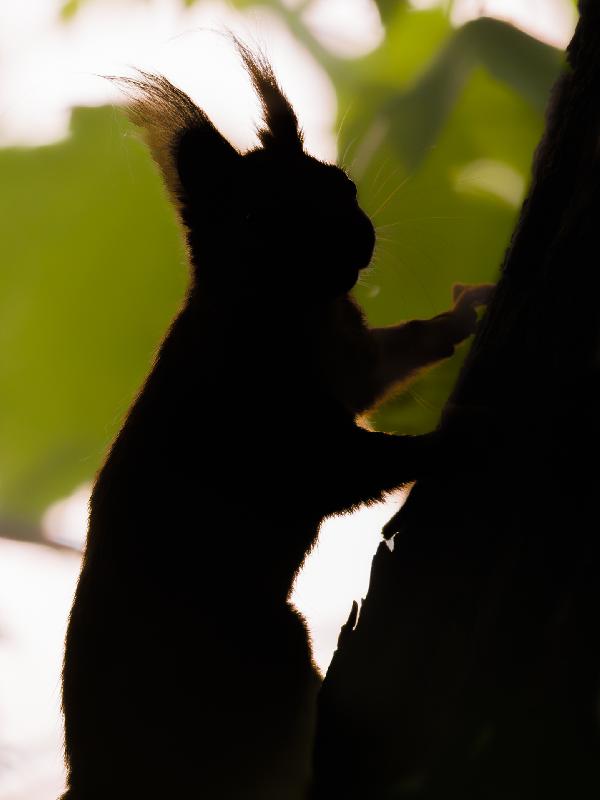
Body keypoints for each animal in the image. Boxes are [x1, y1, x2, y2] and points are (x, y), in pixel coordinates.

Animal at [61, 42, 493, 800]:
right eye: (257, 220)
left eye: (343, 184)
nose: (356, 236)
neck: (295, 311)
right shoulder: (277, 438)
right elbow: (358, 467)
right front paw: (453, 435)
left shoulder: (349, 361)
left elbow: (390, 358)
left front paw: (463, 312)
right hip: (257, 659)